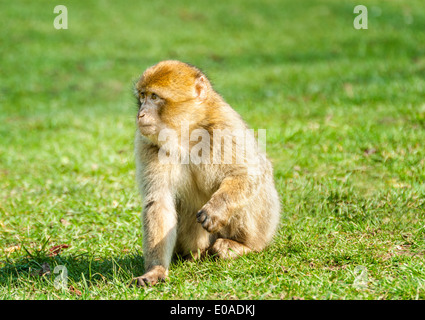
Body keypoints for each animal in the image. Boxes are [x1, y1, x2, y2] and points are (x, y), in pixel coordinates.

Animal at [131, 60, 280, 288]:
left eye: (154, 97)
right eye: (142, 96)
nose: (141, 115)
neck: (186, 134)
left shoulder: (225, 127)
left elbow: (250, 172)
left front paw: (216, 209)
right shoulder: (147, 145)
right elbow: (159, 202)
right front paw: (155, 270)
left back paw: (242, 246)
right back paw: (193, 255)